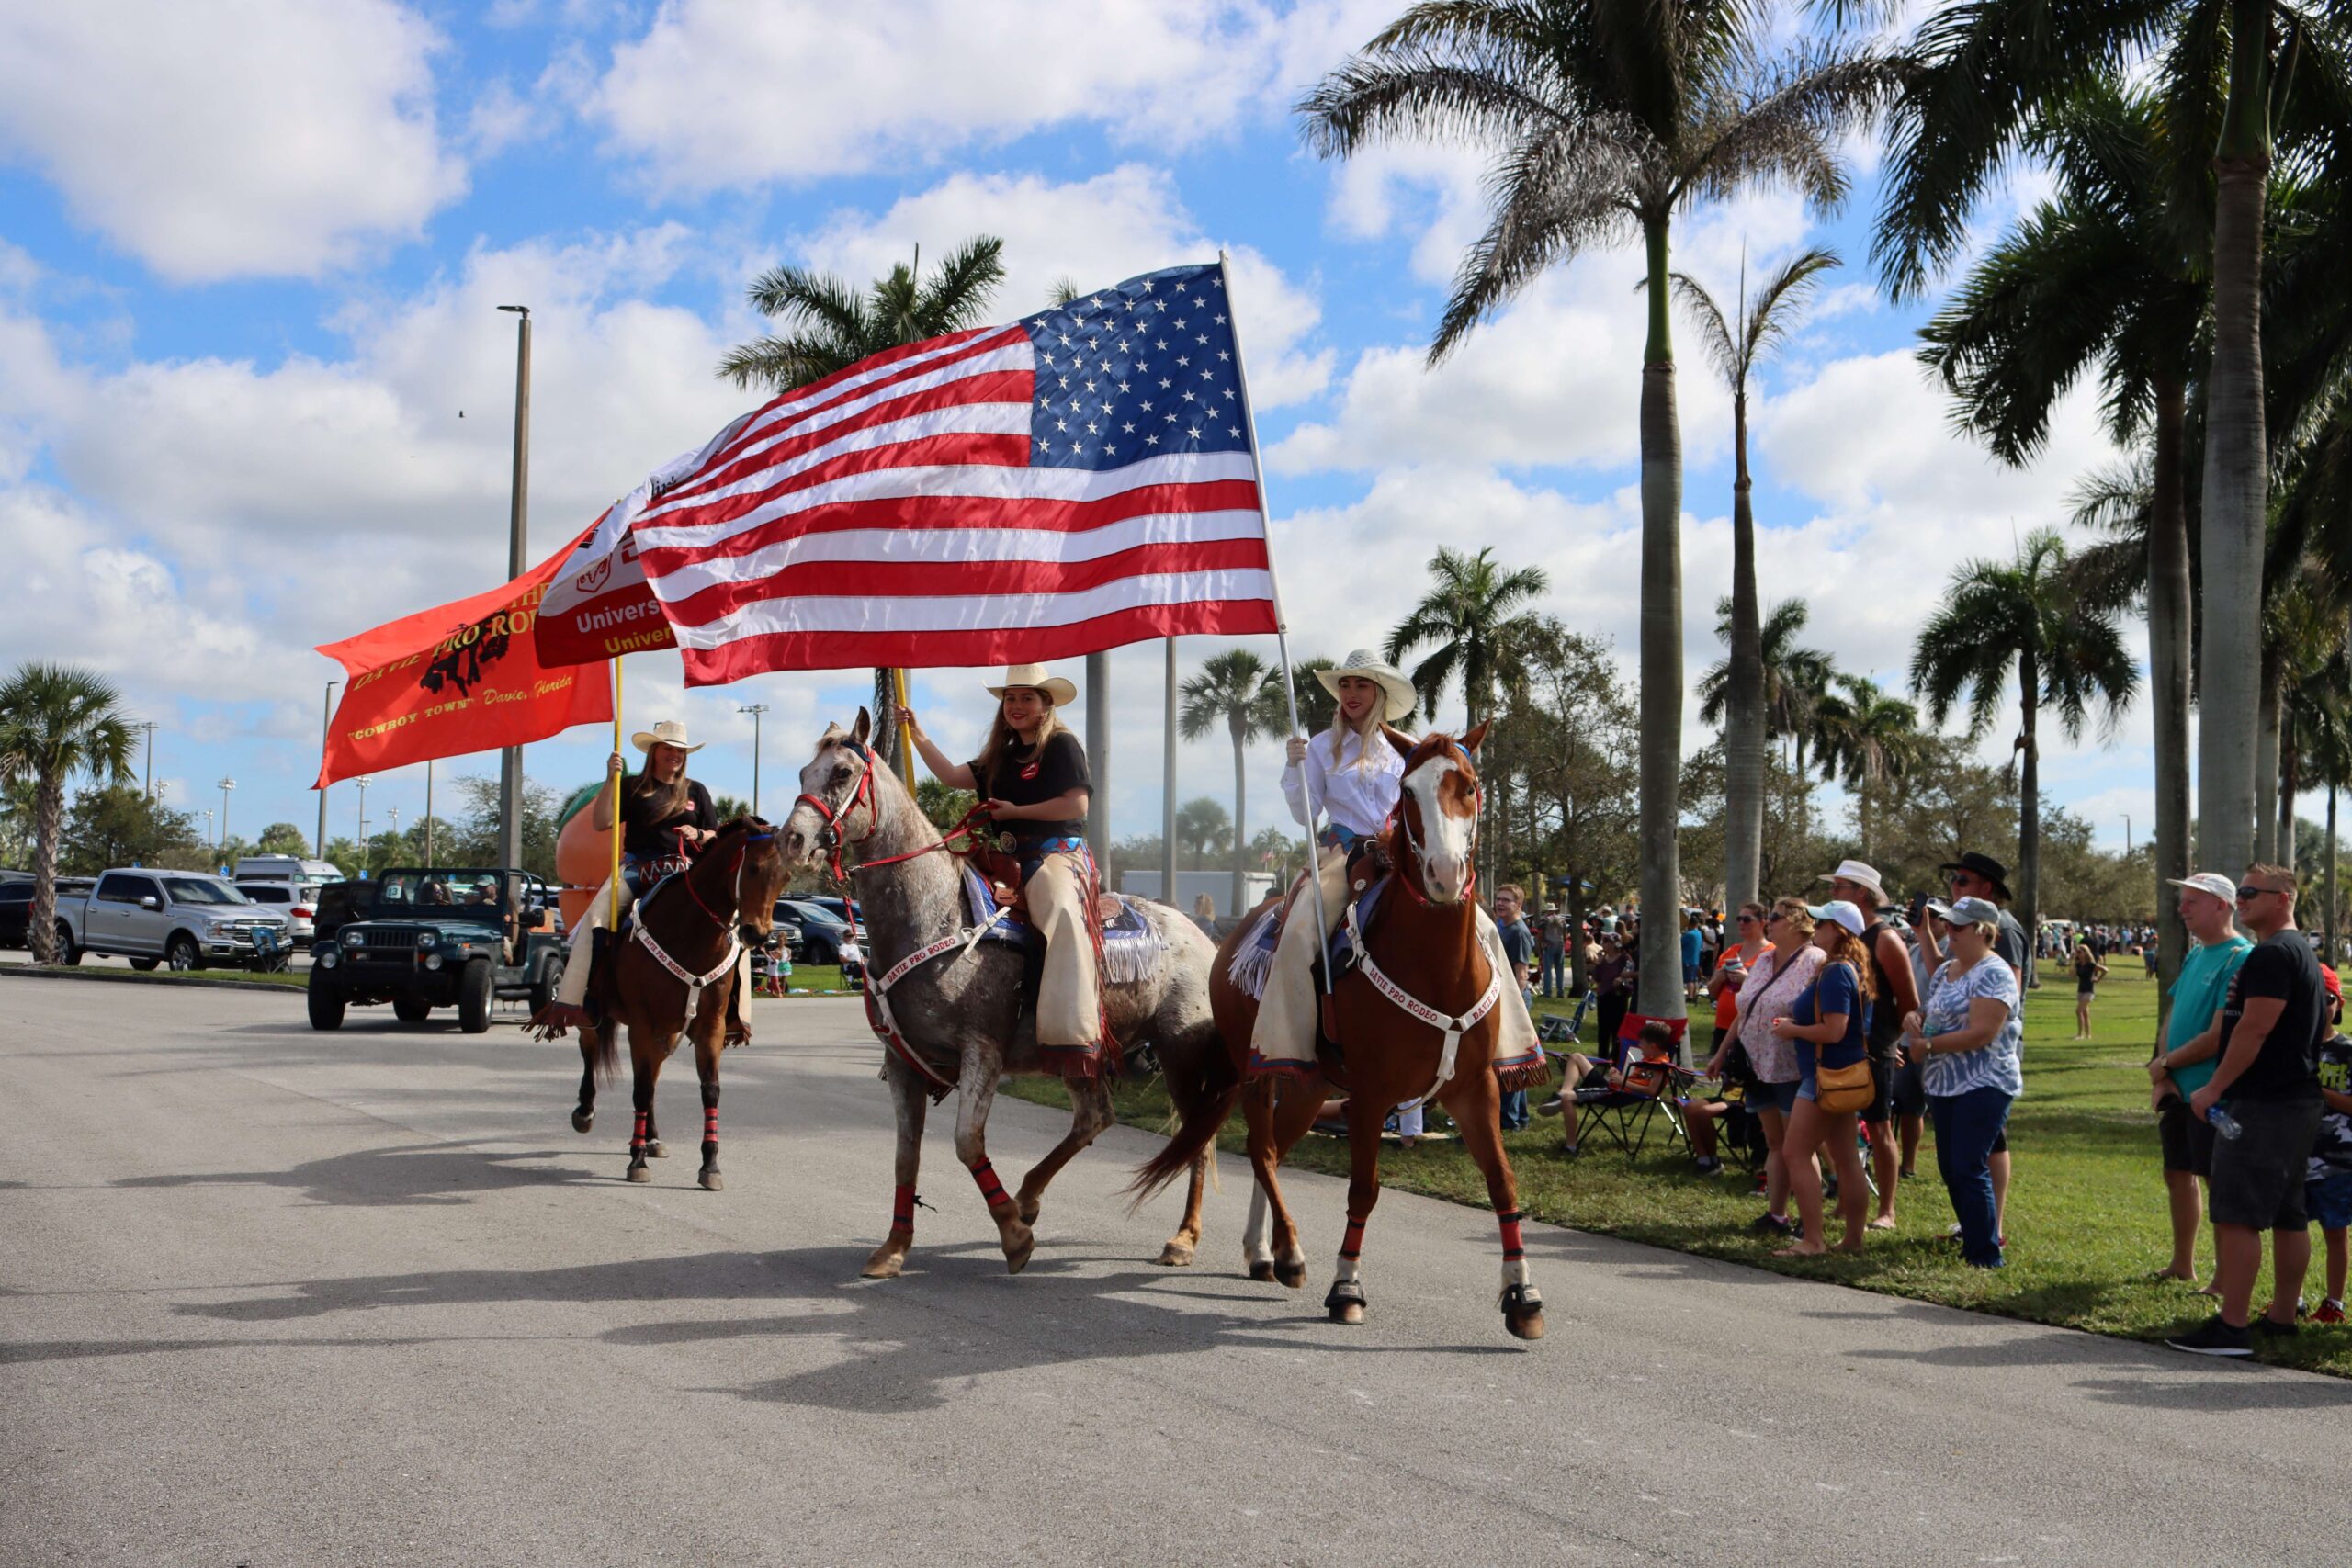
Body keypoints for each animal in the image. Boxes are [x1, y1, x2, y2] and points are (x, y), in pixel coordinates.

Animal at [566, 822, 790, 1189]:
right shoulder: (642, 1025)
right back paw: (586, 1113)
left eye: (786, 876)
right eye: (753, 868)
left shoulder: (710, 1027)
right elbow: (640, 1090)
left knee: (652, 1076)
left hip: (667, 1031)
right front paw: (636, 1159)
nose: (758, 934)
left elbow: (709, 1090)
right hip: (595, 1013)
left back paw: (653, 1138)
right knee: (591, 1051)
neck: (690, 934)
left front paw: (710, 1165)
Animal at [790, 709, 1232, 1279]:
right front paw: (894, 1247)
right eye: (804, 772)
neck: (933, 916)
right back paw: (1029, 1196)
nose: (792, 840)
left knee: (1197, 1139)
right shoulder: (903, 1061)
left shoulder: (982, 1052)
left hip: (1181, 1053)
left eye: (843, 772)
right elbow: (906, 1154)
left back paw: (1182, 1238)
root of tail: (1205, 937)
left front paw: (1014, 1238)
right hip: (1079, 1051)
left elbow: (965, 1143)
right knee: (1095, 1118)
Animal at [1133, 728, 1552, 1344]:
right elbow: (1363, 1189)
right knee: (1261, 1148)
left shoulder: (1476, 1090)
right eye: (1408, 792)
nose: (1445, 874)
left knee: (1272, 1151)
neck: (1436, 967)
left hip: (1310, 1088)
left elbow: (1503, 1182)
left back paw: (1263, 1252)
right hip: (1262, 1070)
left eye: (1470, 786)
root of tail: (1231, 934)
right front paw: (1347, 1286)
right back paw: (1287, 1253)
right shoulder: (1372, 1096)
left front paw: (1522, 1297)